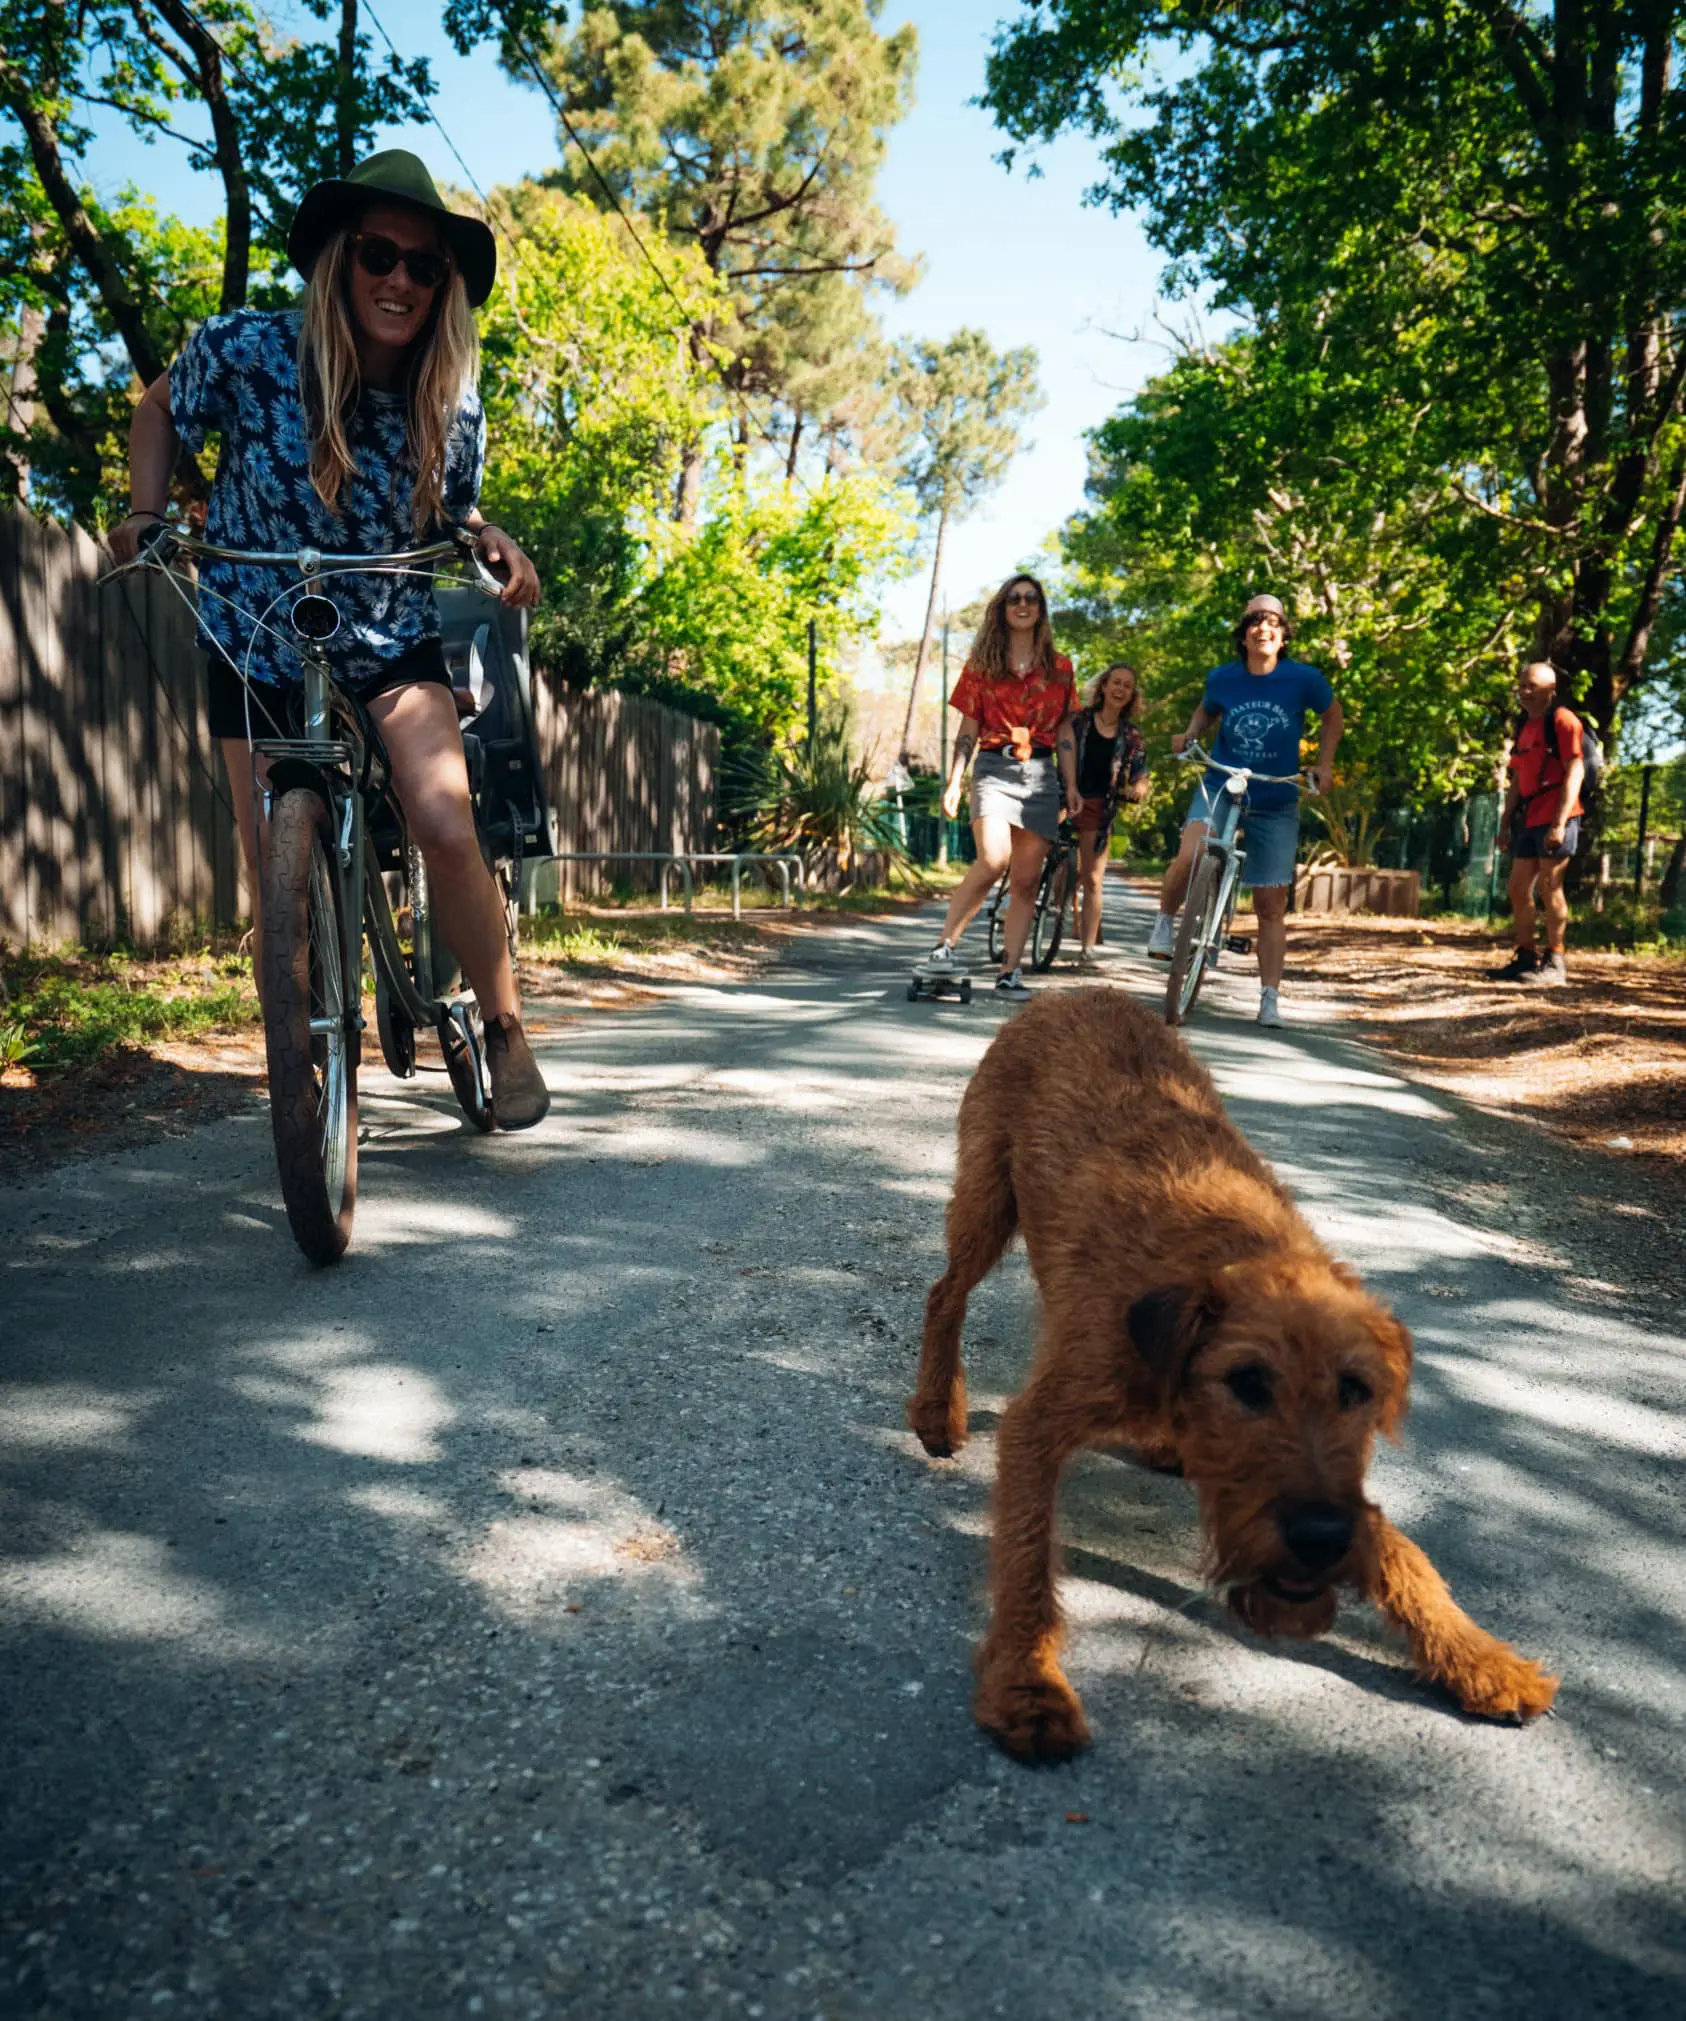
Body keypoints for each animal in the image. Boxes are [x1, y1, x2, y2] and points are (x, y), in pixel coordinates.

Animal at [905, 990, 1552, 1754]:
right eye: (1246, 1382)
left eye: (1356, 1391)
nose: (1320, 1539)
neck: (1227, 1257)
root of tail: (1075, 991)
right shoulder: (1041, 1421)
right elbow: (1028, 1558)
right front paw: (1028, 1686)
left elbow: (1403, 1552)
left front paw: (1480, 1658)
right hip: (986, 1198)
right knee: (945, 1293)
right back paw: (936, 1412)